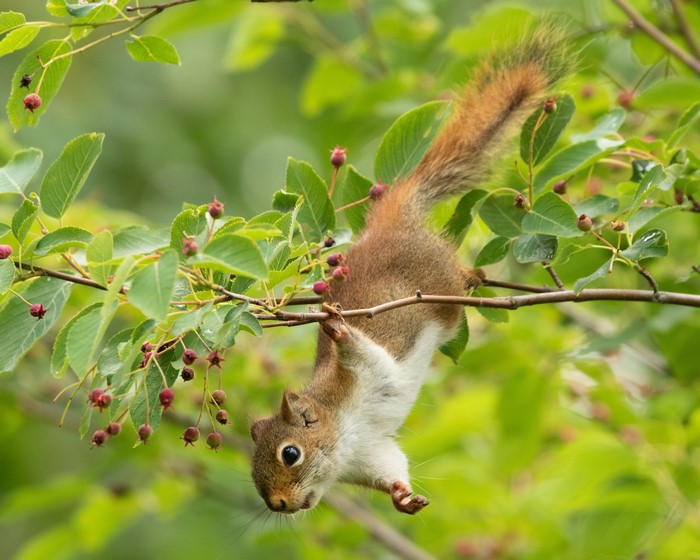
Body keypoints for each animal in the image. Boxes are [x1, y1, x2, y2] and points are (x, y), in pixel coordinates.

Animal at [250, 23, 569, 515]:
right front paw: (403, 498)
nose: (279, 504)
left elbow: (366, 355)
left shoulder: (362, 376)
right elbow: (392, 468)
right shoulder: (370, 454)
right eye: (253, 475)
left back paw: (472, 277)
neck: (342, 433)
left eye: (290, 453)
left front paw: (337, 331)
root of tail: (386, 222)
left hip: (434, 272)